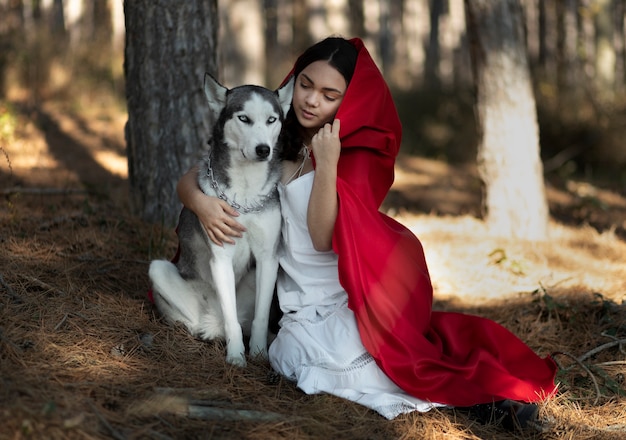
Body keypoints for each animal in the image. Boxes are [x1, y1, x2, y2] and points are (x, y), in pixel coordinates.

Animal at [149, 74, 292, 366]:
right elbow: (231, 319)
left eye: (271, 119)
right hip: (158, 269)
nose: (263, 149)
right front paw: (236, 356)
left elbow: (261, 316)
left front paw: (258, 353)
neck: (245, 196)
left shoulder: (268, 258)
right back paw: (206, 331)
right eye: (244, 118)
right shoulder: (221, 257)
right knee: (209, 320)